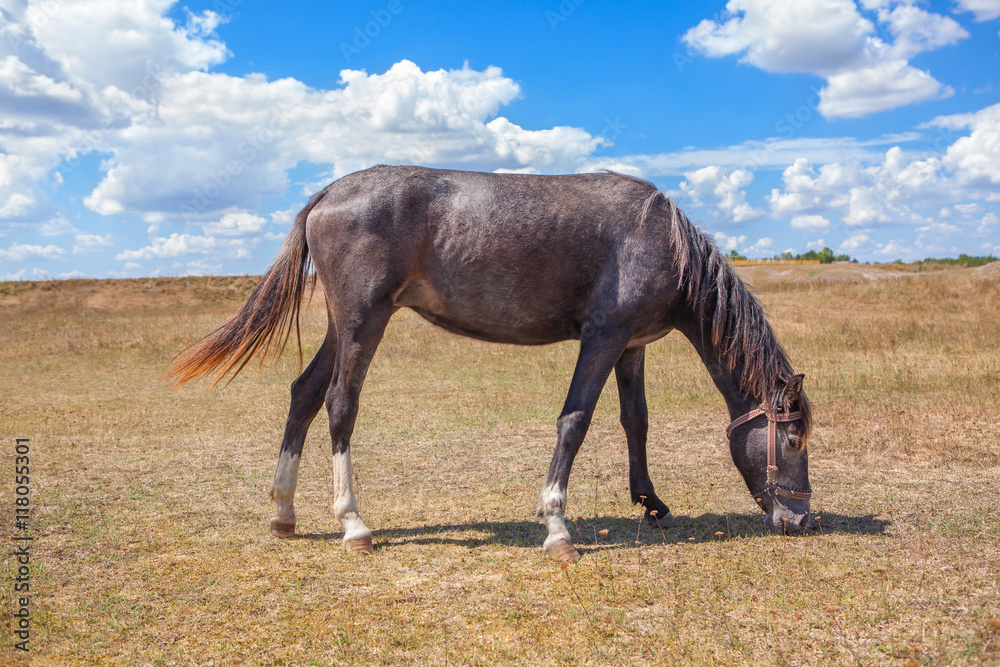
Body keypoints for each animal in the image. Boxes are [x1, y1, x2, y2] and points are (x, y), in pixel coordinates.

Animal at [168, 165, 816, 561]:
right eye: (794, 440)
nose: (802, 521)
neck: (663, 242)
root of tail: (328, 193)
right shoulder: (603, 338)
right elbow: (575, 421)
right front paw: (556, 527)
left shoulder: (631, 345)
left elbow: (636, 422)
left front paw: (651, 503)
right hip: (362, 321)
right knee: (339, 403)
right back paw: (353, 522)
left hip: (340, 323)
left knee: (303, 394)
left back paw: (283, 512)